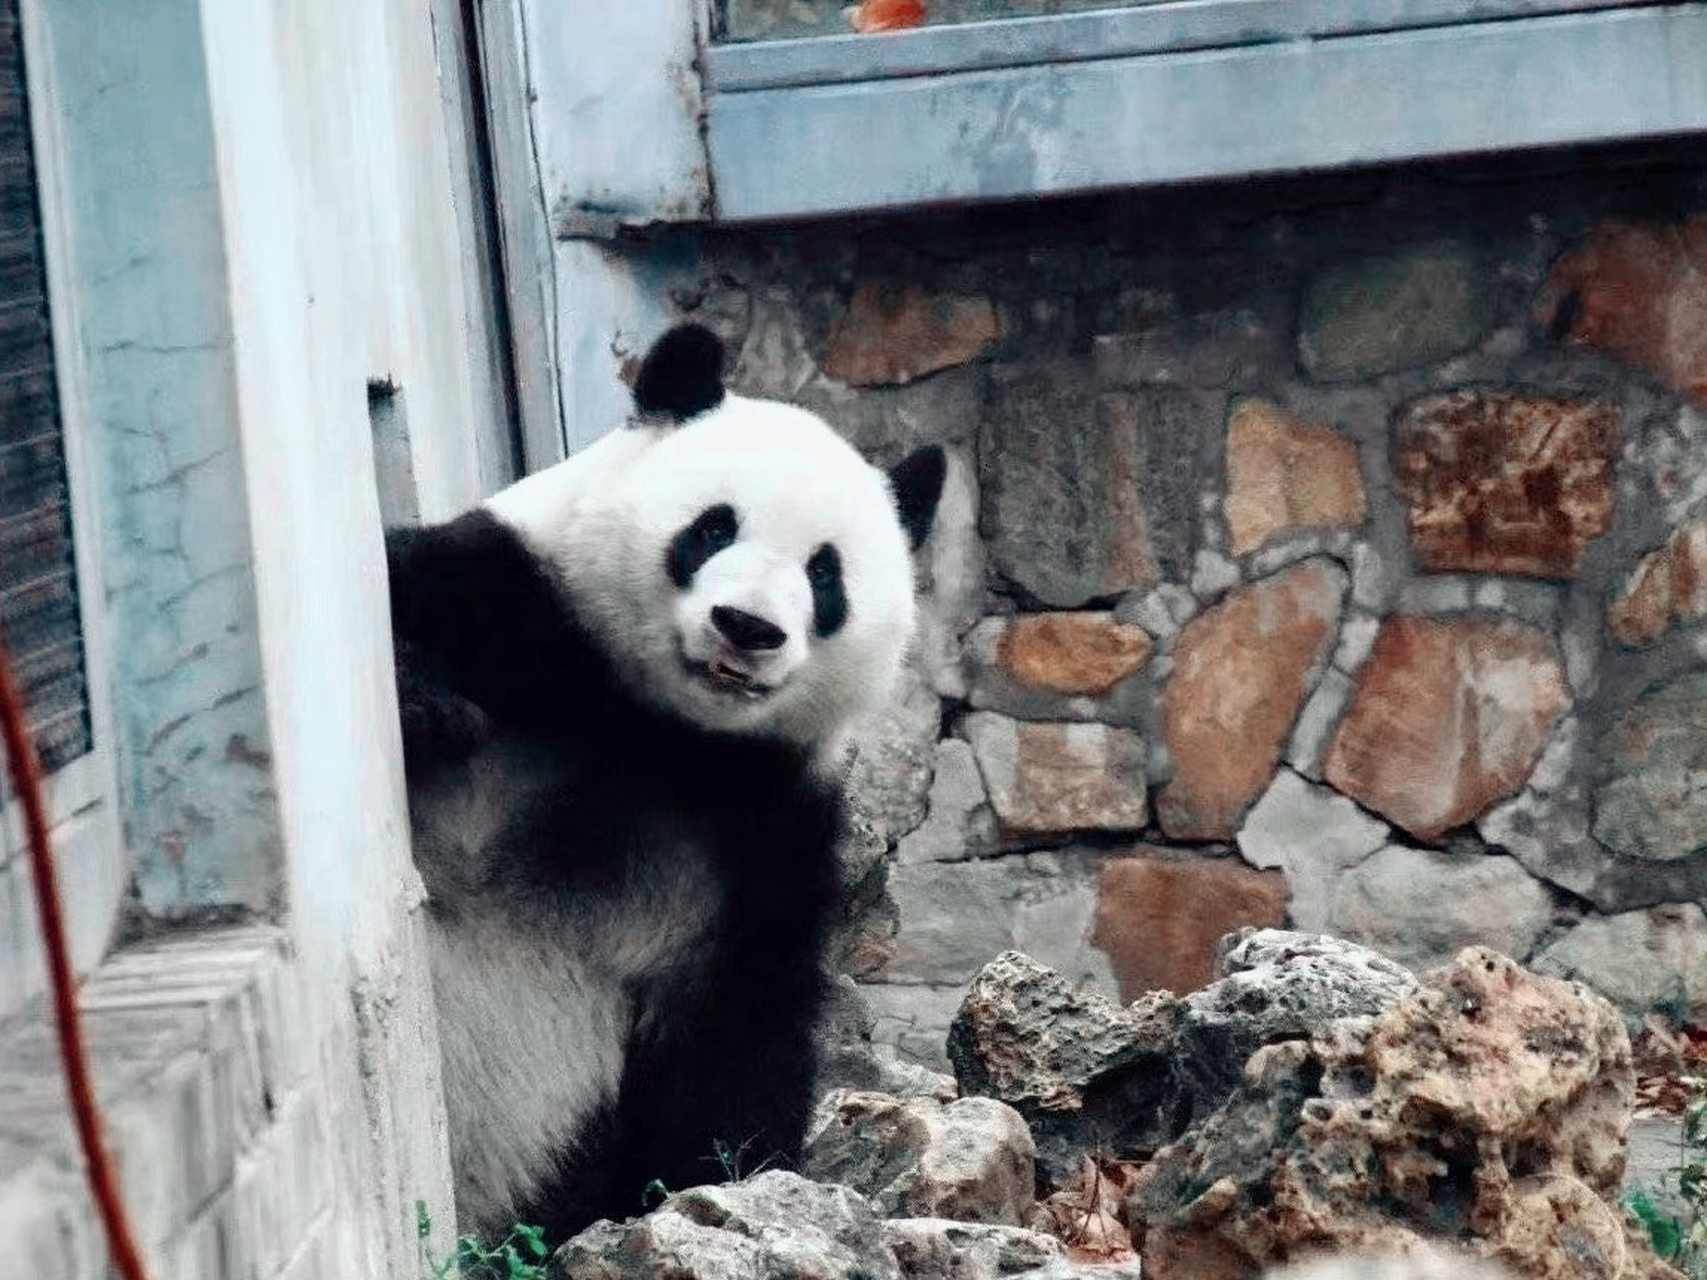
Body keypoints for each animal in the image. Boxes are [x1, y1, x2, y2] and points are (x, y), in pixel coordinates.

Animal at [385, 325, 949, 1249]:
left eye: (824, 575)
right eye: (712, 527)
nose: (746, 626)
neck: (653, 727)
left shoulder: (766, 820)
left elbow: (740, 1016)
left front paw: (721, 1188)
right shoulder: (514, 596)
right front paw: (429, 704)